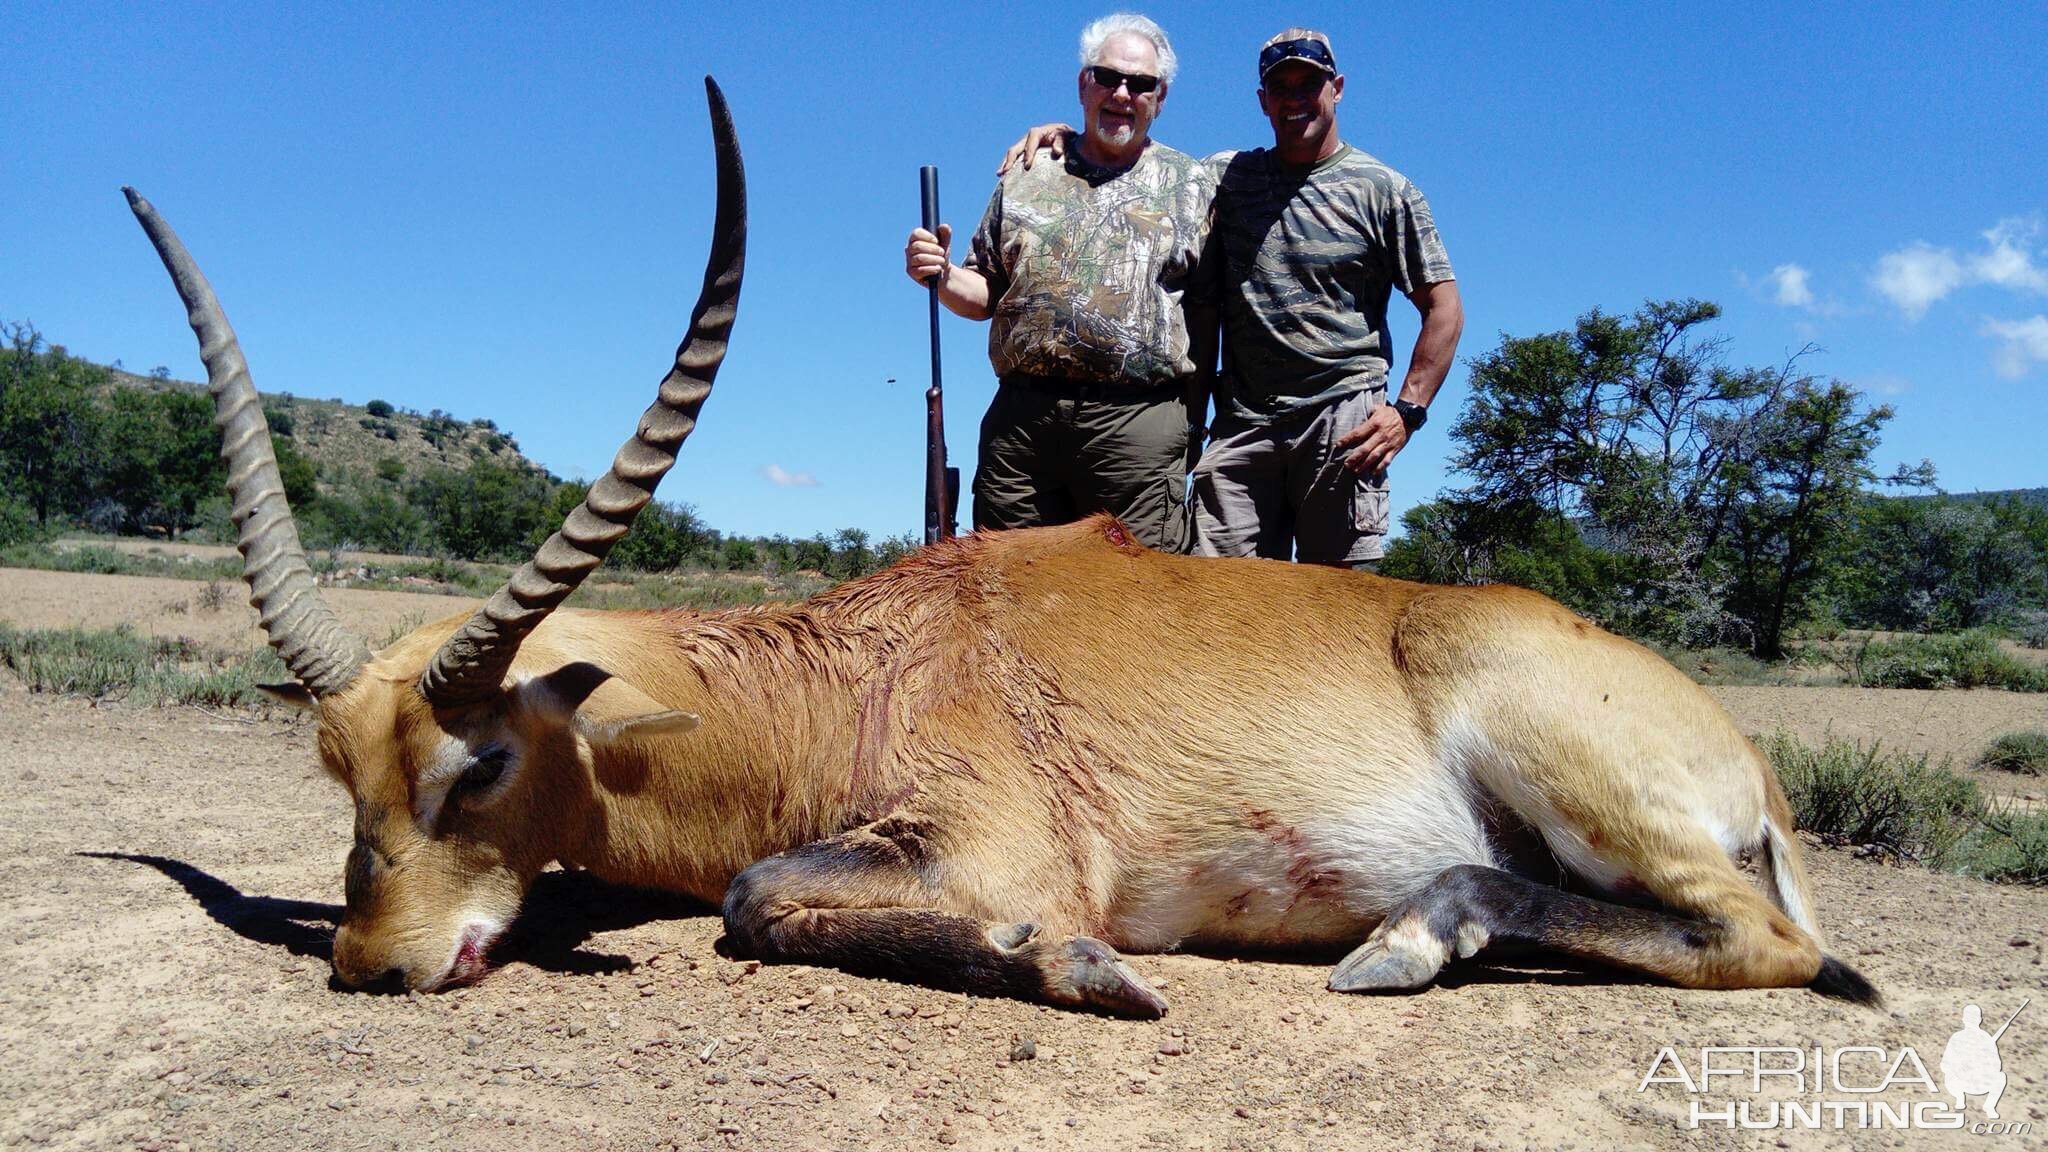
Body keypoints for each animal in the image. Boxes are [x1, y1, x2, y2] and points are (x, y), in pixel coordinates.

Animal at [128, 80, 1875, 1012]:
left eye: (477, 762)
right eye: (338, 776)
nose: (372, 960)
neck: (856, 662)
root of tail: (1737, 752)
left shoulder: (988, 845)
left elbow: (760, 895)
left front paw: (1080, 966)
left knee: (1768, 941)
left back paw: (1407, 941)